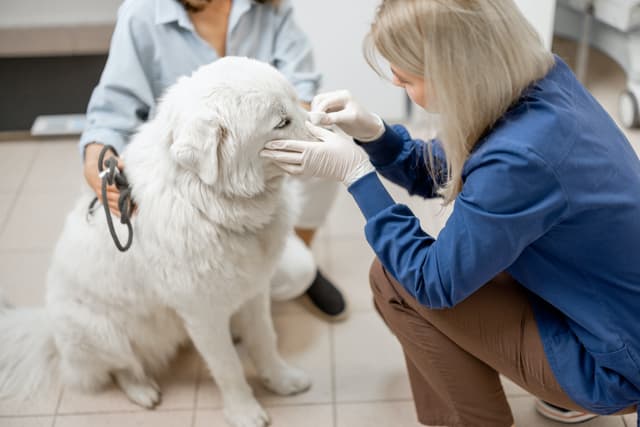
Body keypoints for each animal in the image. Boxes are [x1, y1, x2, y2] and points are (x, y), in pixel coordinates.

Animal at [0, 56, 316, 427]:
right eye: (282, 122)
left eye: (297, 101)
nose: (340, 133)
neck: (207, 203)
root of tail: (48, 330)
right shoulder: (203, 315)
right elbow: (229, 368)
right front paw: (244, 412)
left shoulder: (254, 292)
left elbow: (266, 341)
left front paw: (282, 381)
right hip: (101, 334)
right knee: (122, 368)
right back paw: (142, 390)